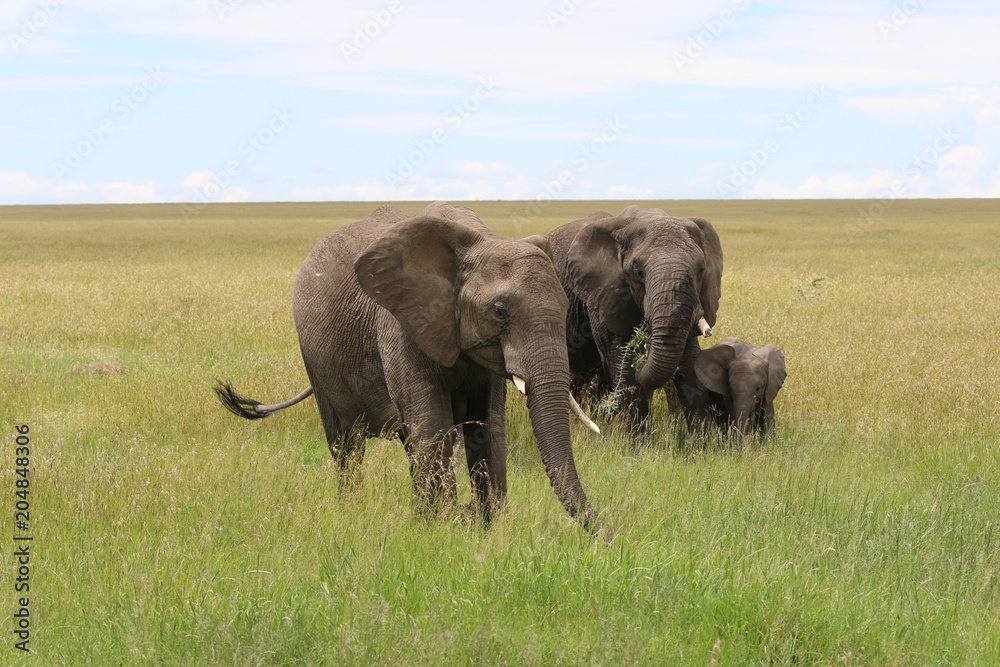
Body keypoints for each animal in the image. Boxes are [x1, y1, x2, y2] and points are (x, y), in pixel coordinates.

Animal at [215, 202, 604, 534]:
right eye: (499, 311)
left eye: (566, 305)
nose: (609, 537)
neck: (480, 239)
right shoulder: (403, 323)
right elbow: (432, 425)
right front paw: (442, 531)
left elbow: (488, 427)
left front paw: (485, 530)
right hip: (314, 358)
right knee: (346, 447)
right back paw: (351, 512)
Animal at [547, 205, 724, 432]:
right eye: (637, 272)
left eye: (701, 269)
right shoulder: (602, 296)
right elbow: (624, 364)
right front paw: (636, 440)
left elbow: (690, 362)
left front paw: (703, 438)